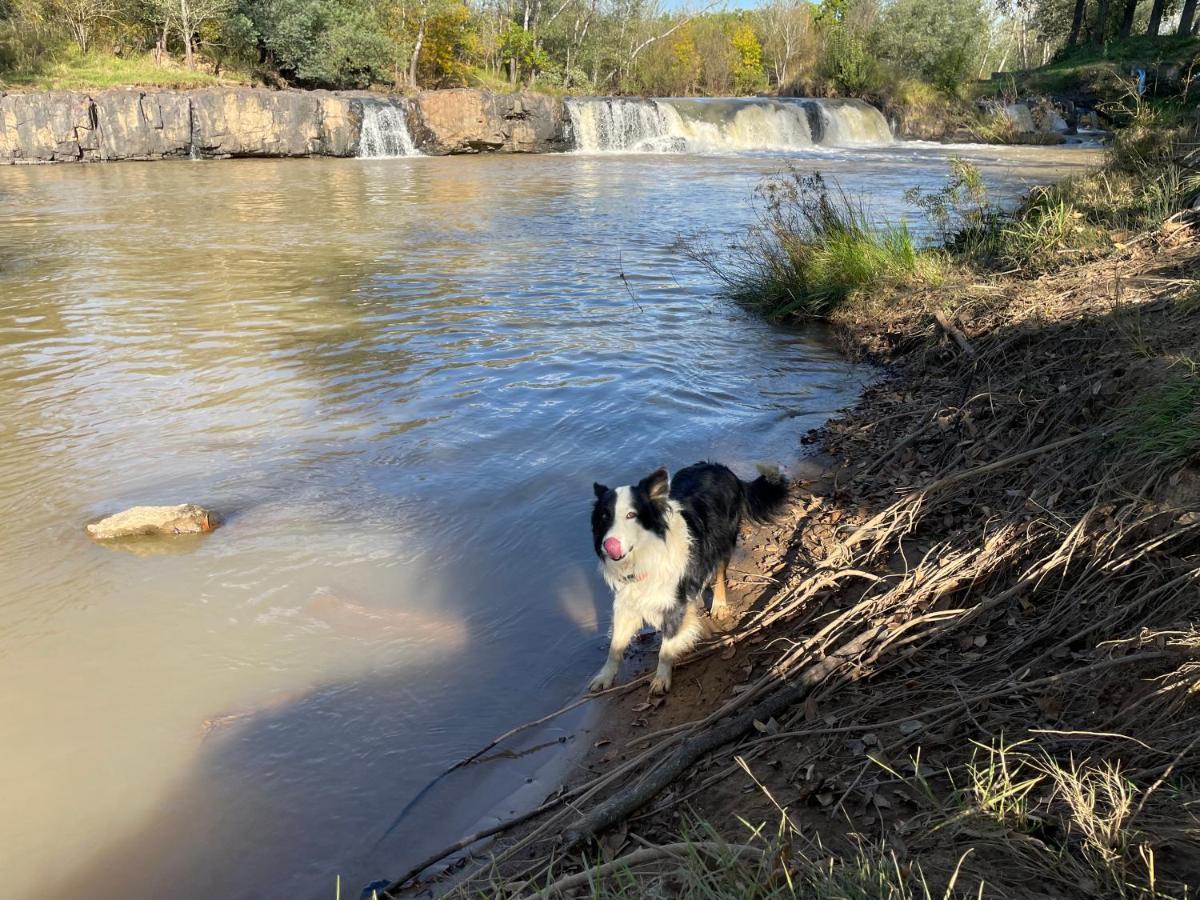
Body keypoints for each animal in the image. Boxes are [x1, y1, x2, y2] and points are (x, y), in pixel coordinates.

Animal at [588, 460, 787, 696]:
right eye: (604, 517)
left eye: (631, 515)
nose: (608, 545)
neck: (646, 554)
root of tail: (721, 468)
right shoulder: (627, 600)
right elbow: (615, 646)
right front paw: (605, 676)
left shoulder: (674, 603)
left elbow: (666, 646)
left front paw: (661, 678)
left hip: (722, 541)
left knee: (720, 573)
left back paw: (719, 605)